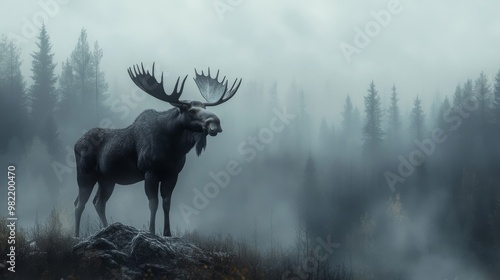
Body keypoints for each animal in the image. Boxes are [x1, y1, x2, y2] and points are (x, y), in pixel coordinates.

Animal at [73, 63, 242, 236]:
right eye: (191, 110)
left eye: (204, 107)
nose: (215, 122)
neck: (173, 149)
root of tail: (76, 143)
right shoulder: (150, 172)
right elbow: (153, 203)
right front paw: (152, 231)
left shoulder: (173, 174)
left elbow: (166, 203)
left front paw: (167, 233)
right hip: (85, 173)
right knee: (80, 203)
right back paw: (77, 235)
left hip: (107, 178)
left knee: (98, 202)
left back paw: (106, 228)